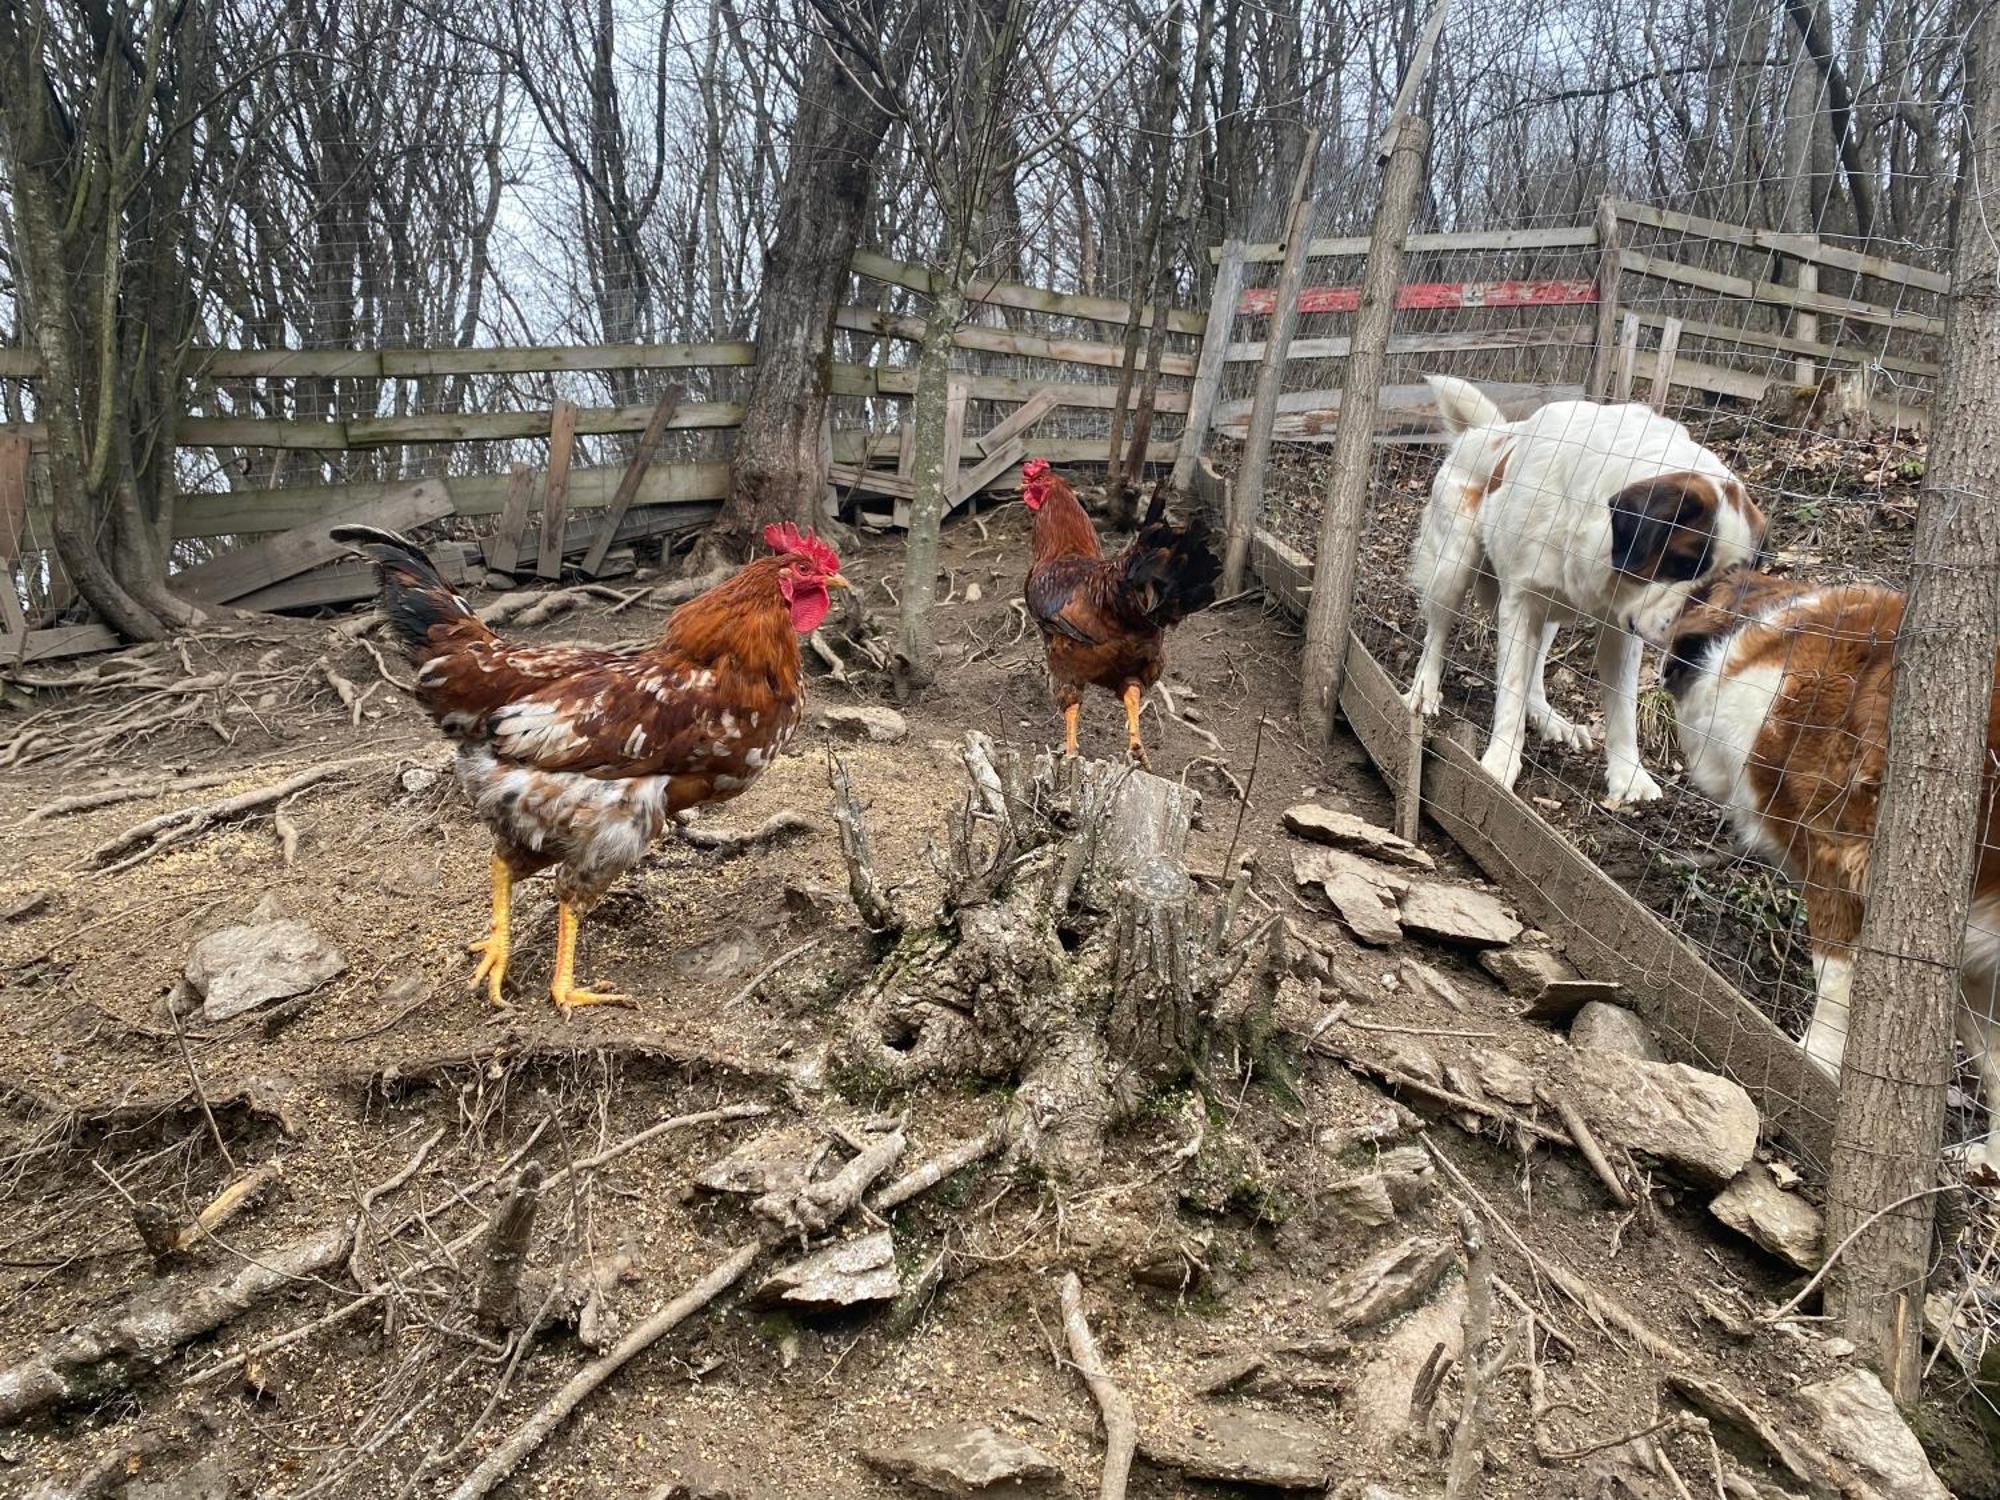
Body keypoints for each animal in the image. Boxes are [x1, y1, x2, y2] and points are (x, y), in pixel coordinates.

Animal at [1408, 376, 1768, 812]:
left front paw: (1629, 776)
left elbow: (1622, 706)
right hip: (1452, 567)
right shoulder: (1521, 601)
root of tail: (1485, 433)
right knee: (1437, 634)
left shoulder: (1620, 627)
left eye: (1727, 581)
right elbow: (1510, 688)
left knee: (1535, 667)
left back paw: (1547, 717)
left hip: (1548, 613)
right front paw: (1498, 765)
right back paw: (1424, 691)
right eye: (1684, 563)